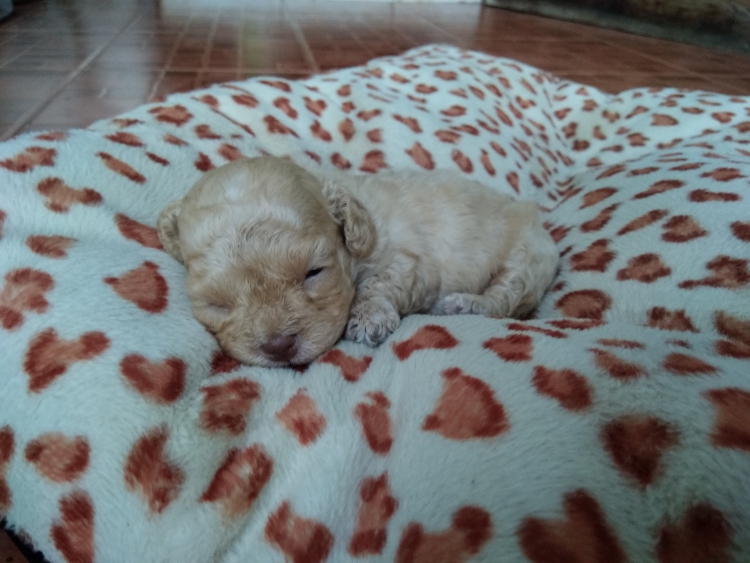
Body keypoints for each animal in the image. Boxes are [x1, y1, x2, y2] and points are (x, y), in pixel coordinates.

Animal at [157, 156, 559, 367]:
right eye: (216, 304)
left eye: (314, 273)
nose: (279, 347)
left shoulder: (409, 264)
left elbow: (379, 283)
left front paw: (367, 318)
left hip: (528, 255)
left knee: (506, 297)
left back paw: (463, 304)